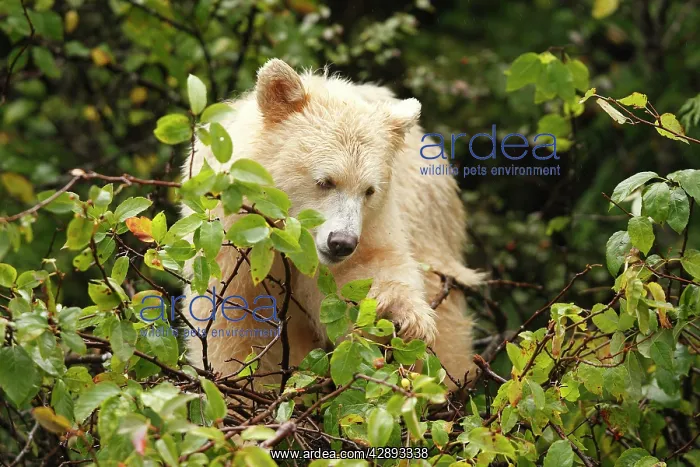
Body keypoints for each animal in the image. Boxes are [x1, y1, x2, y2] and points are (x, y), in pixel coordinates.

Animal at [182, 59, 483, 388]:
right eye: (325, 181)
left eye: (369, 190)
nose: (340, 243)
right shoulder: (232, 243)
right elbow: (240, 322)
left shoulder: (374, 222)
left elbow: (360, 275)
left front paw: (398, 315)